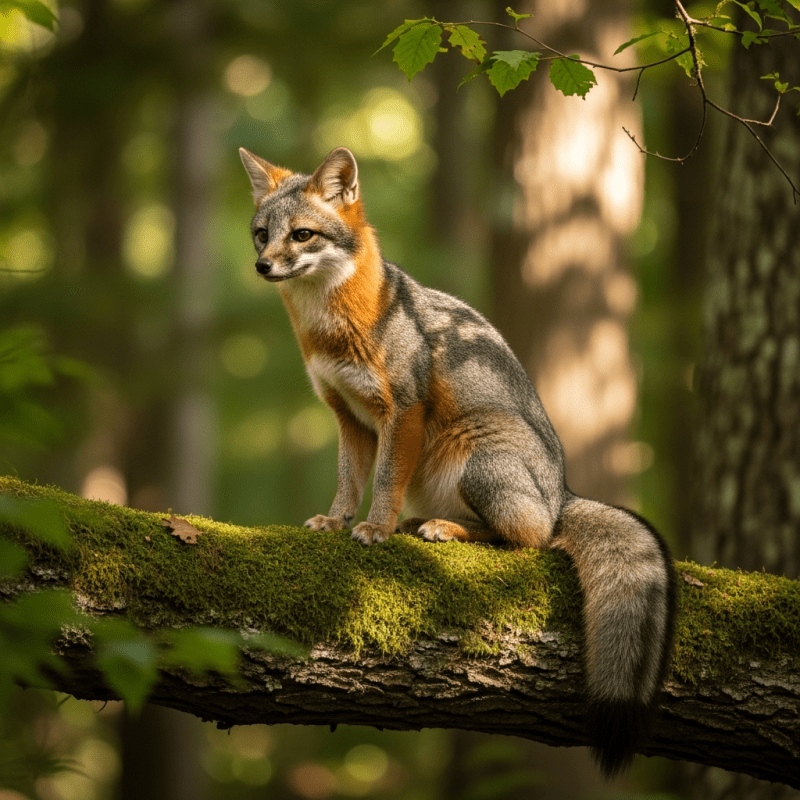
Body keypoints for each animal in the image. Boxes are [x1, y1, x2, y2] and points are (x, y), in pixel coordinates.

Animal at [239, 145, 678, 777]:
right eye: (260, 235)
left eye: (301, 235)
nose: (263, 267)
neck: (335, 326)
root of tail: (563, 492)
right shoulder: (347, 416)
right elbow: (349, 481)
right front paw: (336, 520)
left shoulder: (403, 411)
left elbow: (385, 482)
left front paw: (376, 528)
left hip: (477, 460)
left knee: (530, 540)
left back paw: (444, 528)